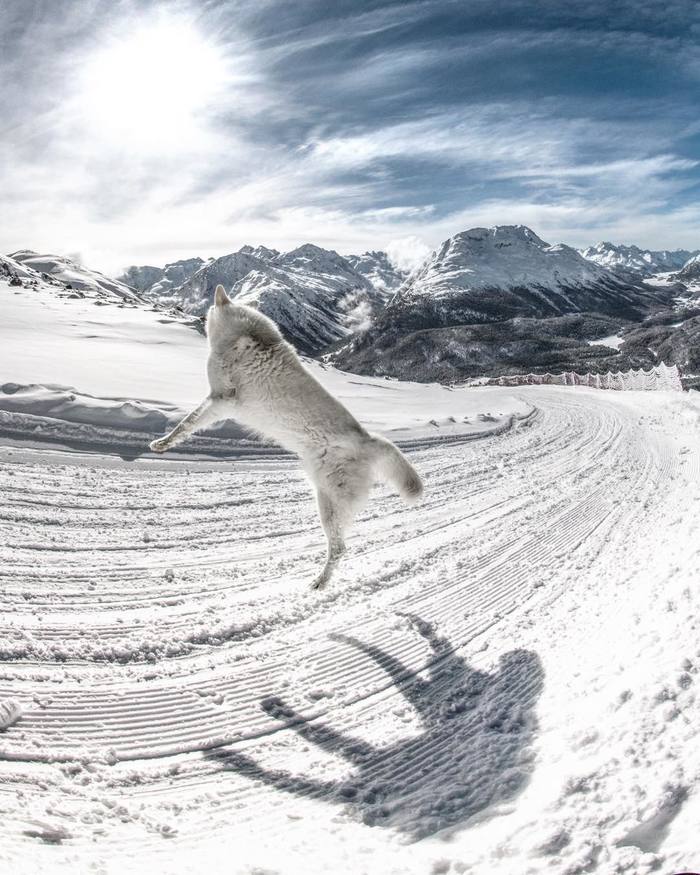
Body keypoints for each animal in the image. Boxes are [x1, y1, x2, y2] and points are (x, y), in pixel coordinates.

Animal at [149, 285, 423, 588]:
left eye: (210, 306)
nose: (192, 314)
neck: (239, 336)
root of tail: (368, 439)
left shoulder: (221, 401)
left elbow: (186, 424)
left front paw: (162, 444)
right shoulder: (218, 401)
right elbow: (187, 423)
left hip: (328, 507)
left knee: (339, 548)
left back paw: (320, 582)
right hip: (326, 498)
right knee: (341, 546)